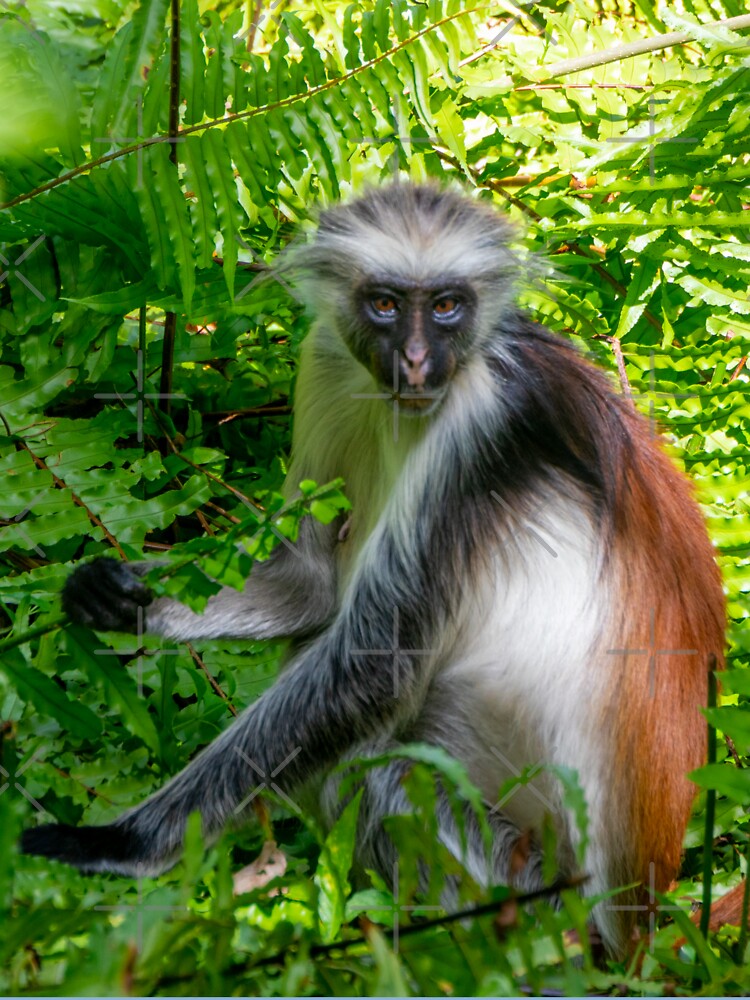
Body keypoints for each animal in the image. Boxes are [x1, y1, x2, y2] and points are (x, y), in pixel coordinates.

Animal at [25, 184, 728, 956]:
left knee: (381, 774)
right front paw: (123, 602)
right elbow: (310, 582)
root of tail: (639, 926)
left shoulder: (484, 427)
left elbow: (371, 671)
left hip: (533, 892)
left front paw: (122, 844)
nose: (417, 361)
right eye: (386, 305)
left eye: (447, 305)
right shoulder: (328, 357)